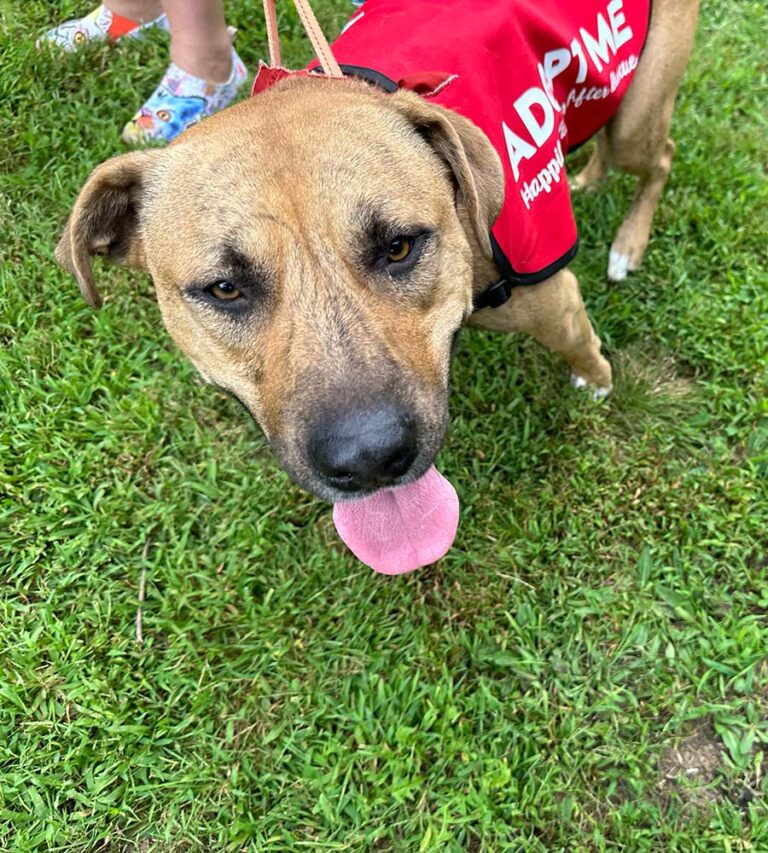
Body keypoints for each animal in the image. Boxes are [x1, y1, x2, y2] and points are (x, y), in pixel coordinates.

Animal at [55, 0, 704, 572]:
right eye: (223, 288)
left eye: (398, 247)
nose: (368, 459)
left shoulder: (556, 302)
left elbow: (584, 351)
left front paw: (596, 383)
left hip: (640, 116)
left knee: (662, 156)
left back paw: (627, 243)